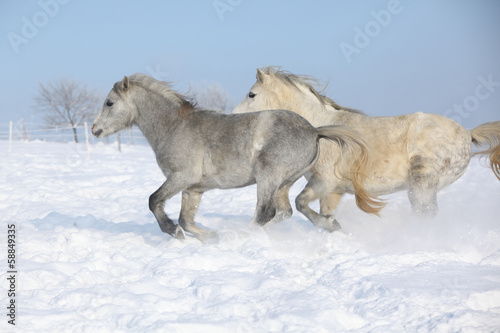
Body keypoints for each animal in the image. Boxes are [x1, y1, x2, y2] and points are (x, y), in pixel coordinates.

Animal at [234, 67, 500, 228]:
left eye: (251, 94)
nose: (235, 117)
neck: (322, 129)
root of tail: (467, 133)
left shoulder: (325, 182)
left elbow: (300, 203)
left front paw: (329, 226)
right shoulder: (333, 191)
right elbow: (319, 211)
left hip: (422, 183)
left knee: (425, 214)